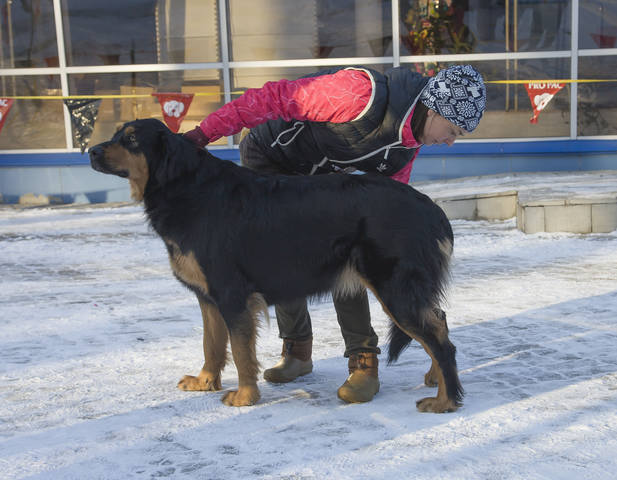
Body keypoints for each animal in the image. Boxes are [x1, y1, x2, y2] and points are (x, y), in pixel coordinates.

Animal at [89, 118, 460, 410]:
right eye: (118, 132)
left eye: (131, 139)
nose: (91, 151)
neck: (185, 186)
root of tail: (432, 209)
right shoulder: (208, 298)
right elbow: (212, 344)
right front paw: (206, 381)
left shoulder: (232, 295)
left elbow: (240, 351)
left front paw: (245, 396)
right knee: (439, 321)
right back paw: (435, 379)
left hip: (394, 288)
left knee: (439, 340)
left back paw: (445, 401)